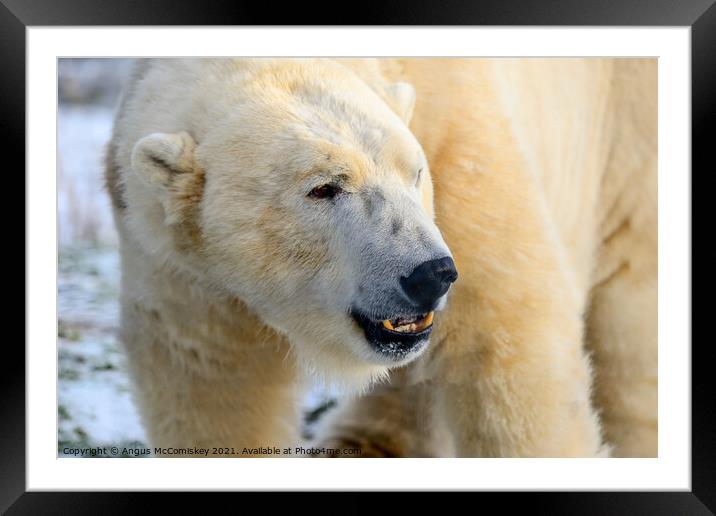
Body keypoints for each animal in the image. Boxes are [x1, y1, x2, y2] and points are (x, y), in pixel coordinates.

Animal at [103, 58, 656, 458]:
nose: (430, 275)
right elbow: (217, 390)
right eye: (324, 187)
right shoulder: (184, 270)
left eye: (416, 172)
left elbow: (505, 352)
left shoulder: (463, 158)